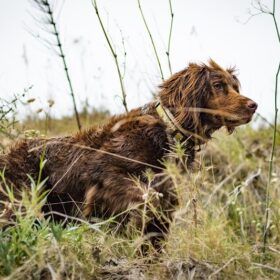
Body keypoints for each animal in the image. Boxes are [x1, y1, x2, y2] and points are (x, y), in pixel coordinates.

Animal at [0, 60, 258, 250]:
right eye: (218, 85)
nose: (253, 106)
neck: (165, 132)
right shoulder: (103, 172)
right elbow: (147, 198)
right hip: (22, 197)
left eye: (234, 87)